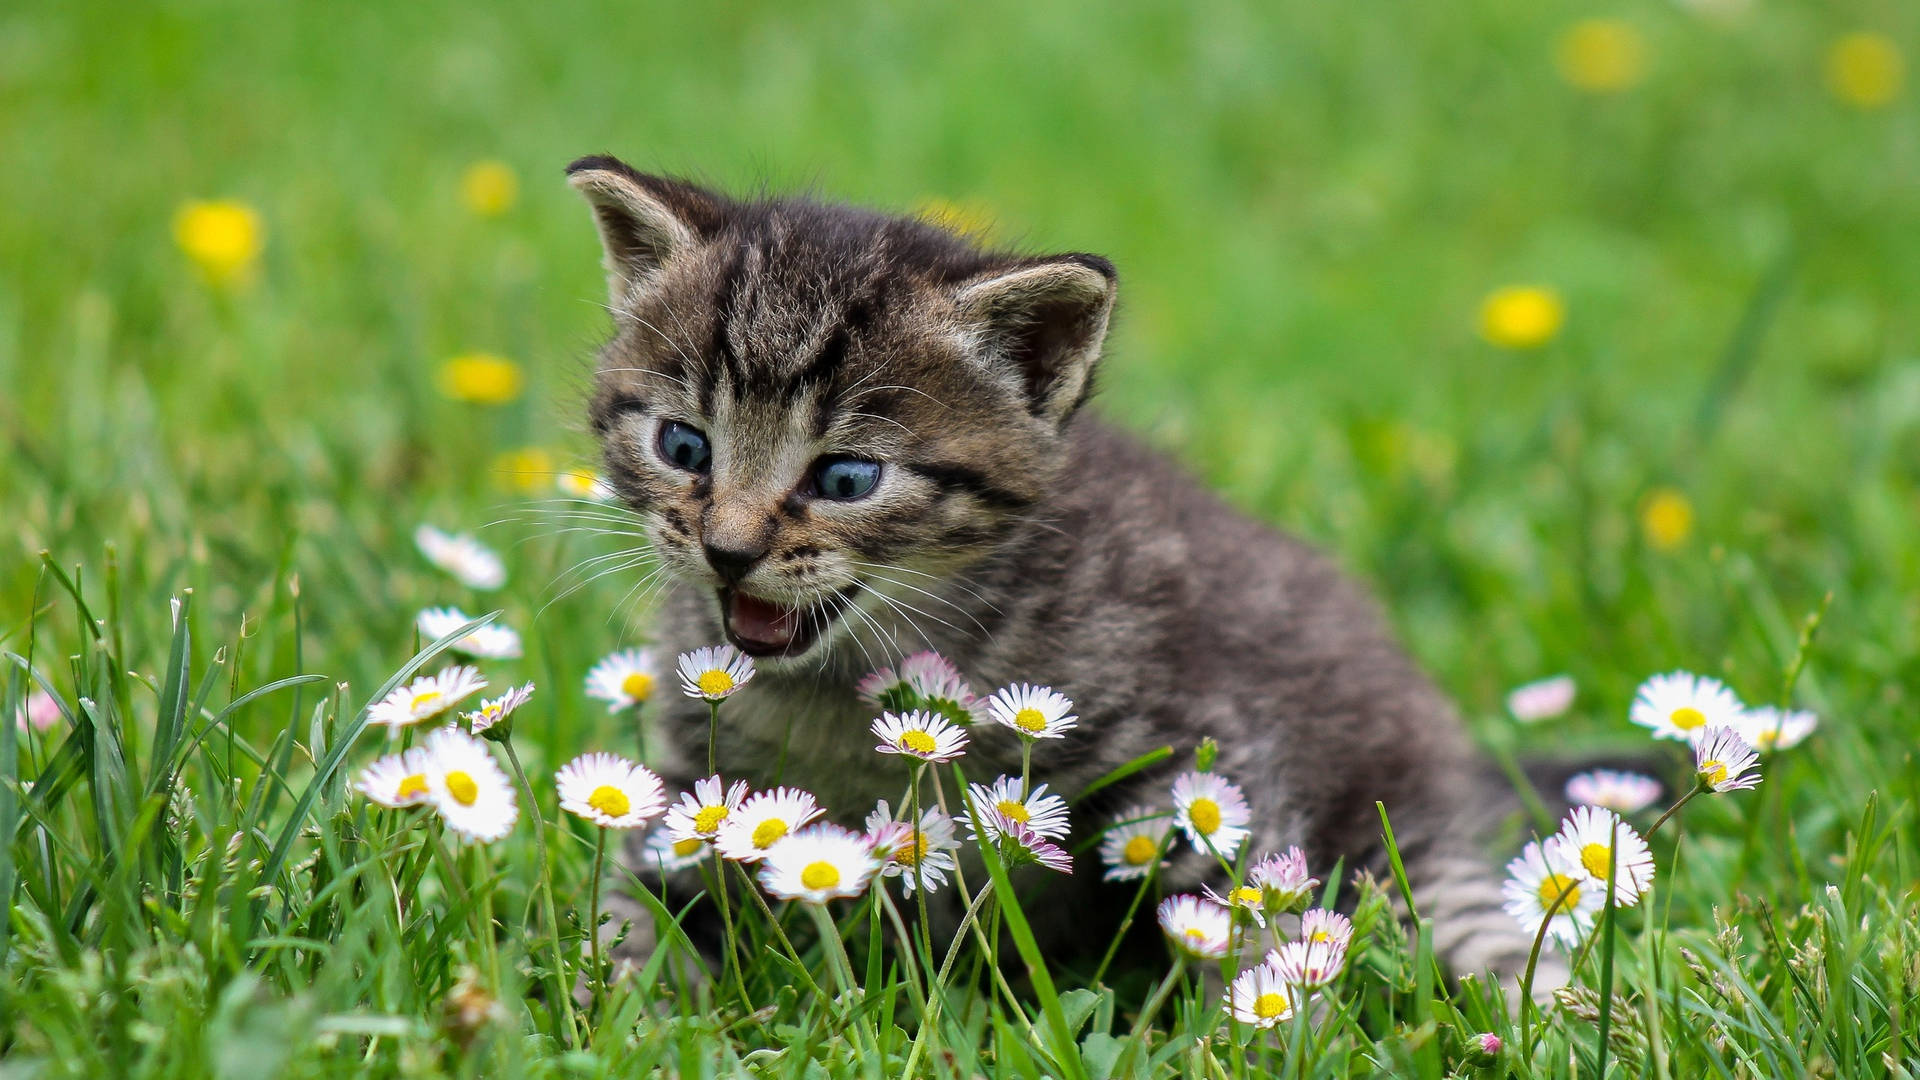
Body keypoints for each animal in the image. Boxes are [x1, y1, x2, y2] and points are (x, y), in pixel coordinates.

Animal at [564, 153, 1528, 976]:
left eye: (846, 478)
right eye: (684, 446)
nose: (728, 550)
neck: (840, 690)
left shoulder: (1204, 751)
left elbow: (1243, 915)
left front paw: (1251, 1026)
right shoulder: (696, 786)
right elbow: (633, 899)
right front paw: (627, 989)